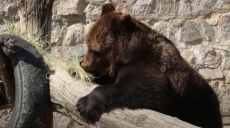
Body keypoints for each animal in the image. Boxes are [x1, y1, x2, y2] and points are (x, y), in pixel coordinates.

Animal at [77, 3, 223, 128]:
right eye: (88, 43)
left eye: (94, 49)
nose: (85, 64)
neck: (129, 54)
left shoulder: (152, 68)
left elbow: (144, 87)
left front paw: (84, 104)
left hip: (200, 110)